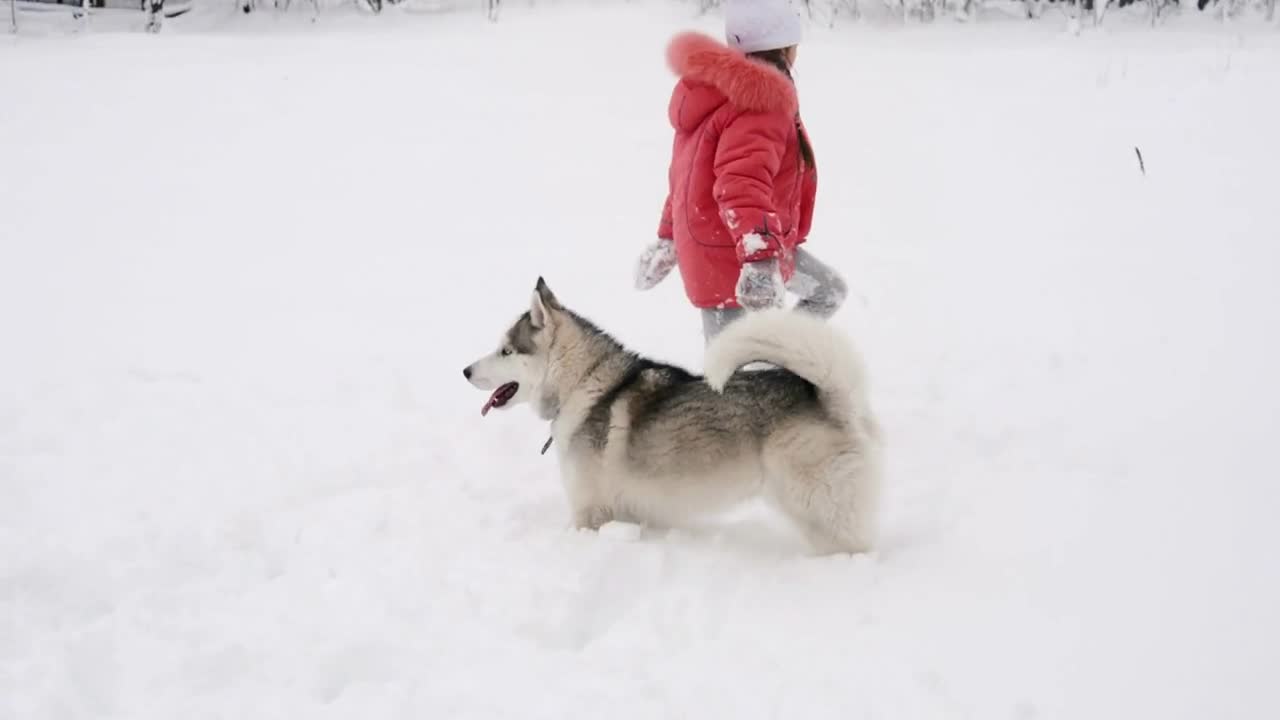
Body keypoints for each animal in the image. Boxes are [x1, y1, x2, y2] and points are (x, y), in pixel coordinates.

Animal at [465, 278, 885, 550]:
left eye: (505, 351)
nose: (465, 371)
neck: (583, 384)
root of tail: (827, 394)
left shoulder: (591, 514)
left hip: (817, 510)